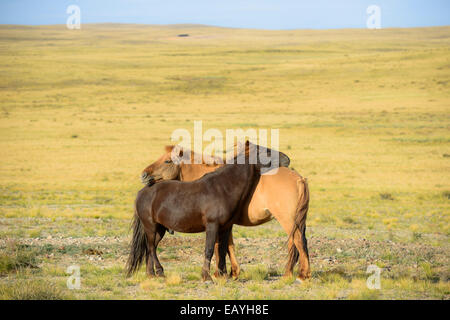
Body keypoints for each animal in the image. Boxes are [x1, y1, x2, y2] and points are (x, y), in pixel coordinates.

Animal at [126, 160, 260, 280]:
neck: (222, 188)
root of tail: (142, 192)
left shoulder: (226, 227)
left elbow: (222, 250)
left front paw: (223, 276)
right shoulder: (212, 226)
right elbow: (209, 249)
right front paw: (206, 276)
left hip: (159, 229)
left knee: (150, 248)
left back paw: (151, 274)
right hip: (150, 226)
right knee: (151, 248)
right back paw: (160, 271)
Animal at [141, 142, 310, 280]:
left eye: (167, 161)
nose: (144, 175)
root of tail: (299, 178)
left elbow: (219, 246)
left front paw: (219, 273)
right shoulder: (225, 224)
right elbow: (227, 245)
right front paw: (231, 272)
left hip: (286, 220)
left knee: (296, 241)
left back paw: (301, 275)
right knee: (298, 242)